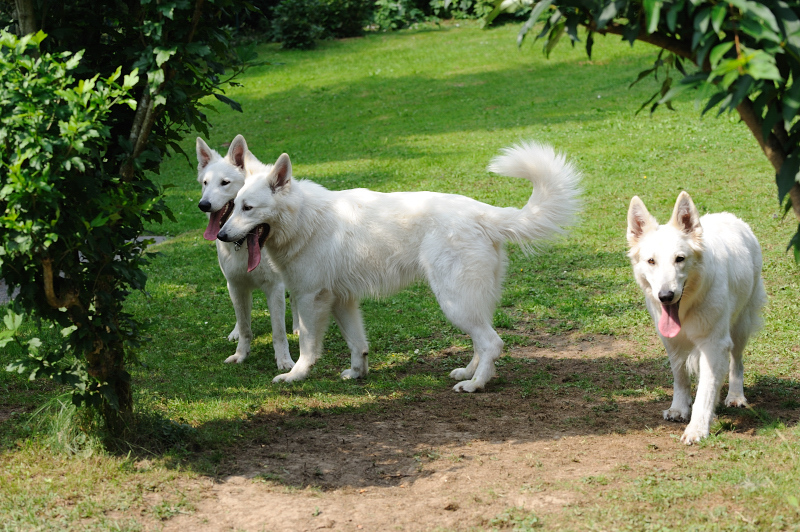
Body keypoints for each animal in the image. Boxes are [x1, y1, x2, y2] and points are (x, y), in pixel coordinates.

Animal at [195, 137, 296, 368]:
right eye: (205, 183)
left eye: (225, 183)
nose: (203, 204)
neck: (243, 240)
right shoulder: (235, 285)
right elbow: (244, 327)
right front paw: (241, 354)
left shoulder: (275, 288)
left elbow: (278, 332)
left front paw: (284, 361)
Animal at [217, 141, 580, 390]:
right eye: (235, 205)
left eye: (248, 208)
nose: (220, 235)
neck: (304, 217)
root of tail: (484, 213)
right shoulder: (342, 301)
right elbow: (358, 344)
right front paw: (357, 373)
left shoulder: (310, 300)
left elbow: (307, 346)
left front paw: (295, 374)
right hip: (470, 301)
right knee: (482, 341)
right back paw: (469, 372)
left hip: (454, 301)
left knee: (493, 342)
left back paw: (475, 384)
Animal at [628, 191, 764, 444]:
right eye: (651, 261)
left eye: (680, 259)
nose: (665, 296)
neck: (687, 306)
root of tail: (731, 217)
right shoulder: (671, 342)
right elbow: (680, 376)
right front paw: (680, 408)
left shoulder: (714, 344)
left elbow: (706, 390)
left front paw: (697, 428)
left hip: (740, 326)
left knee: (737, 361)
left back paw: (735, 395)